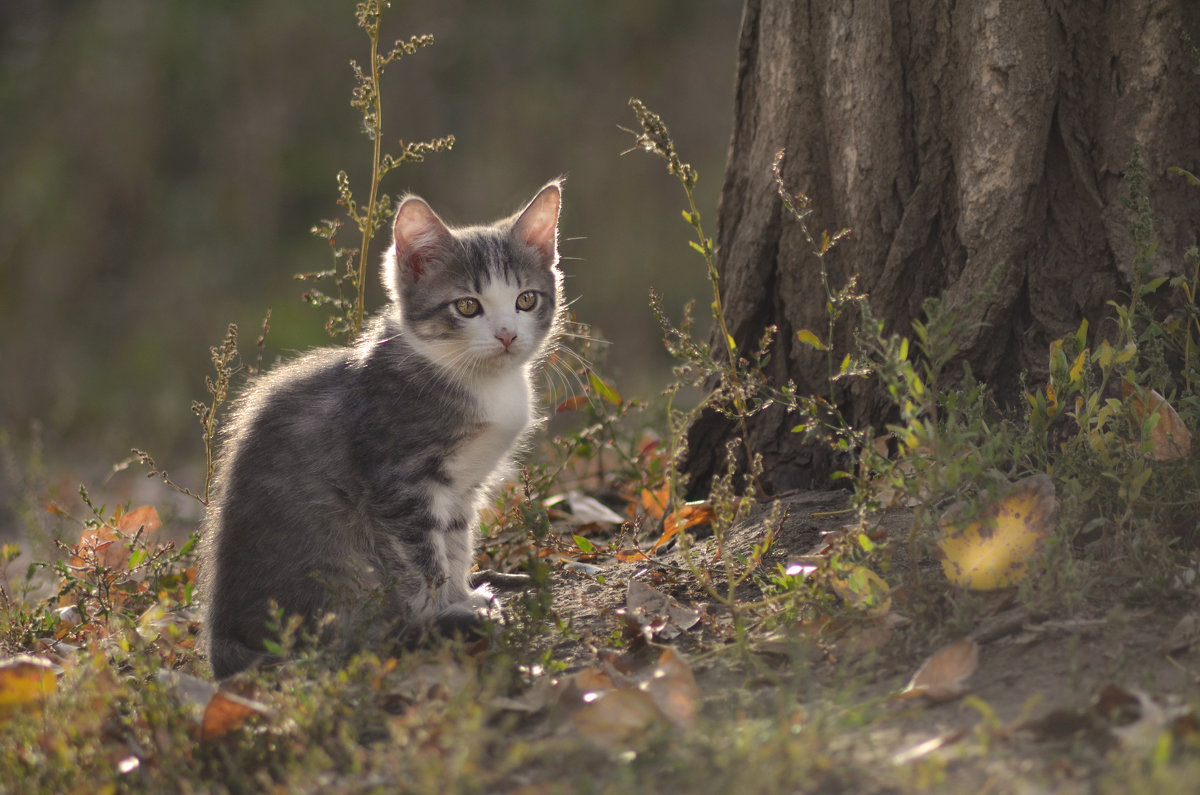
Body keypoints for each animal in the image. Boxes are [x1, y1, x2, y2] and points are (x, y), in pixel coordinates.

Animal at [199, 180, 564, 677]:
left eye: (526, 299)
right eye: (467, 306)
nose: (507, 334)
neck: (478, 381)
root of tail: (222, 641)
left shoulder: (461, 488)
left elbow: (454, 544)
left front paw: (460, 596)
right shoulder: (399, 483)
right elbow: (423, 559)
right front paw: (437, 614)